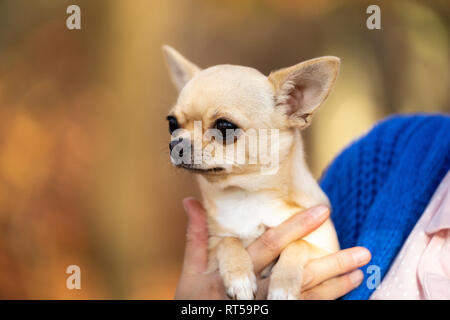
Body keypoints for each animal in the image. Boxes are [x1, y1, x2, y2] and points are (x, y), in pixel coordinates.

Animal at [163, 45, 340, 300]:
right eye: (171, 123)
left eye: (224, 127)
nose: (176, 143)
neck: (246, 195)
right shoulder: (212, 250)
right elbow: (228, 241)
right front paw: (239, 276)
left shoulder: (327, 249)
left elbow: (299, 245)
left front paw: (283, 286)